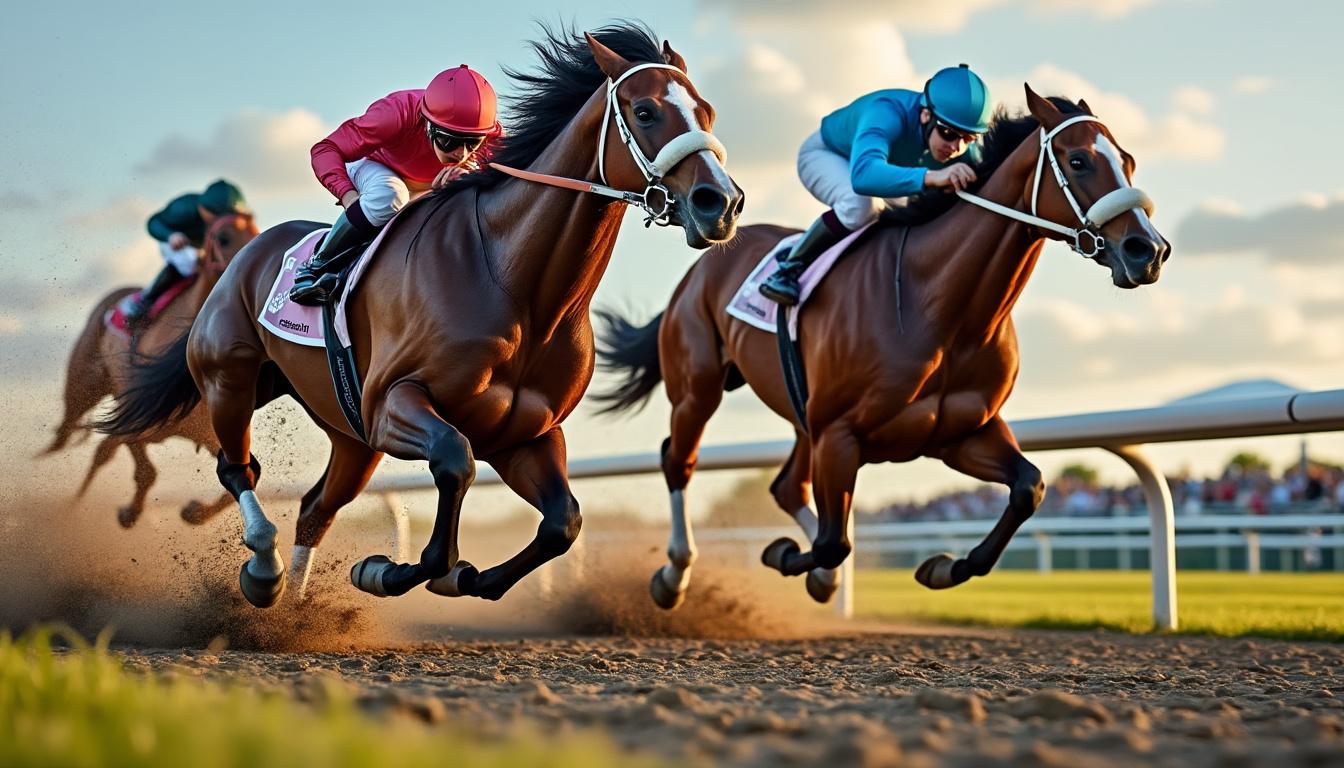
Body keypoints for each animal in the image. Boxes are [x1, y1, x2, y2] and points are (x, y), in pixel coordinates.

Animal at [41, 213, 259, 527]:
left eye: (257, 230)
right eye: (223, 237)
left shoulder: (207, 432)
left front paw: (194, 512)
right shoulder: (133, 419)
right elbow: (140, 469)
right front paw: (120, 512)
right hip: (83, 385)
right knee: (71, 430)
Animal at [96, 23, 742, 607]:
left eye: (708, 111)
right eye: (645, 111)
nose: (722, 202)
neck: (518, 288)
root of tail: (247, 252)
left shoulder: (525, 435)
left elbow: (563, 521)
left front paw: (466, 579)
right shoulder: (394, 405)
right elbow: (455, 464)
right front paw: (387, 570)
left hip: (347, 434)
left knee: (316, 508)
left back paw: (293, 613)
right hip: (231, 379)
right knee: (239, 471)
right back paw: (263, 570)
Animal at [595, 87, 1168, 609]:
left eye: (1128, 161)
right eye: (1079, 160)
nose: (1149, 250)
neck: (942, 308)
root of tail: (704, 260)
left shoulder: (960, 433)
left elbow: (1030, 487)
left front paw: (943, 567)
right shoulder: (840, 434)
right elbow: (834, 542)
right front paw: (786, 554)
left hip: (803, 412)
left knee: (785, 486)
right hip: (699, 388)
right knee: (680, 461)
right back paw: (674, 575)